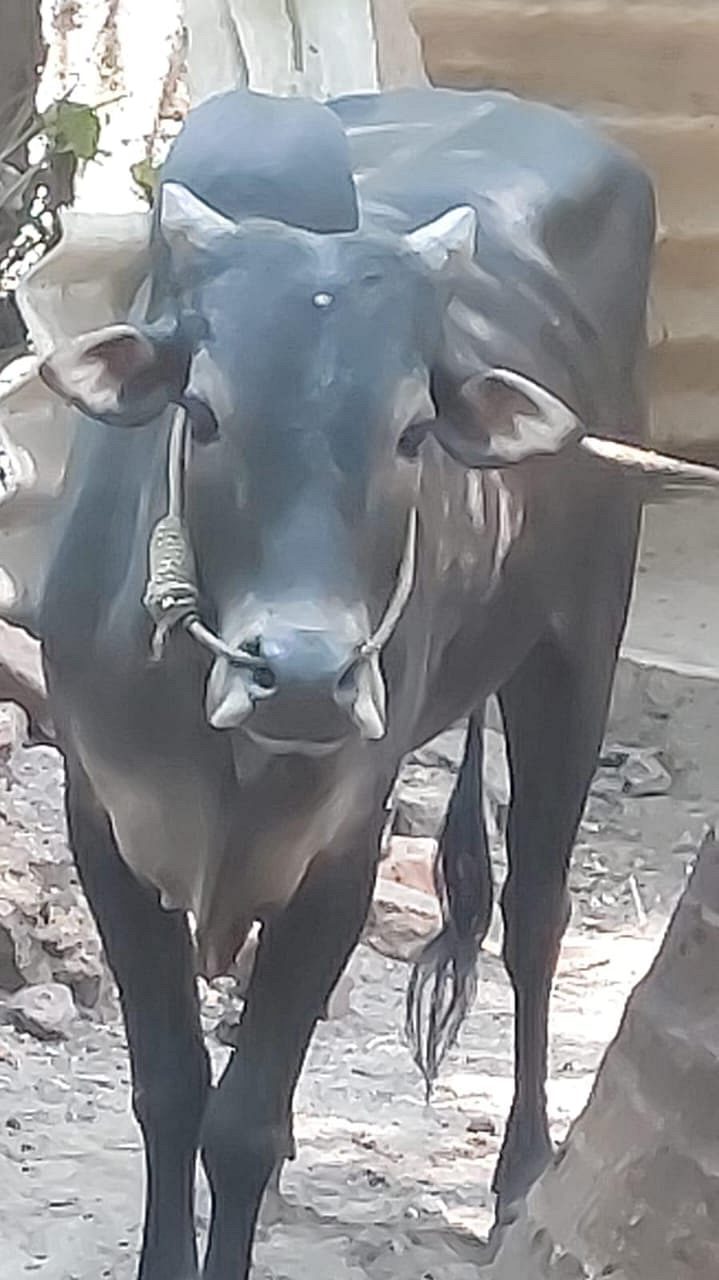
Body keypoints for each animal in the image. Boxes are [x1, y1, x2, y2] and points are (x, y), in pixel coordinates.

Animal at [22, 85, 663, 1277]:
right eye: (202, 412)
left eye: (412, 429)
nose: (304, 678)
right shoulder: (107, 822)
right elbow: (170, 1091)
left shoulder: (339, 848)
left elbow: (240, 1124)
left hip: (576, 646)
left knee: (535, 915)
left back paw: (518, 1174)